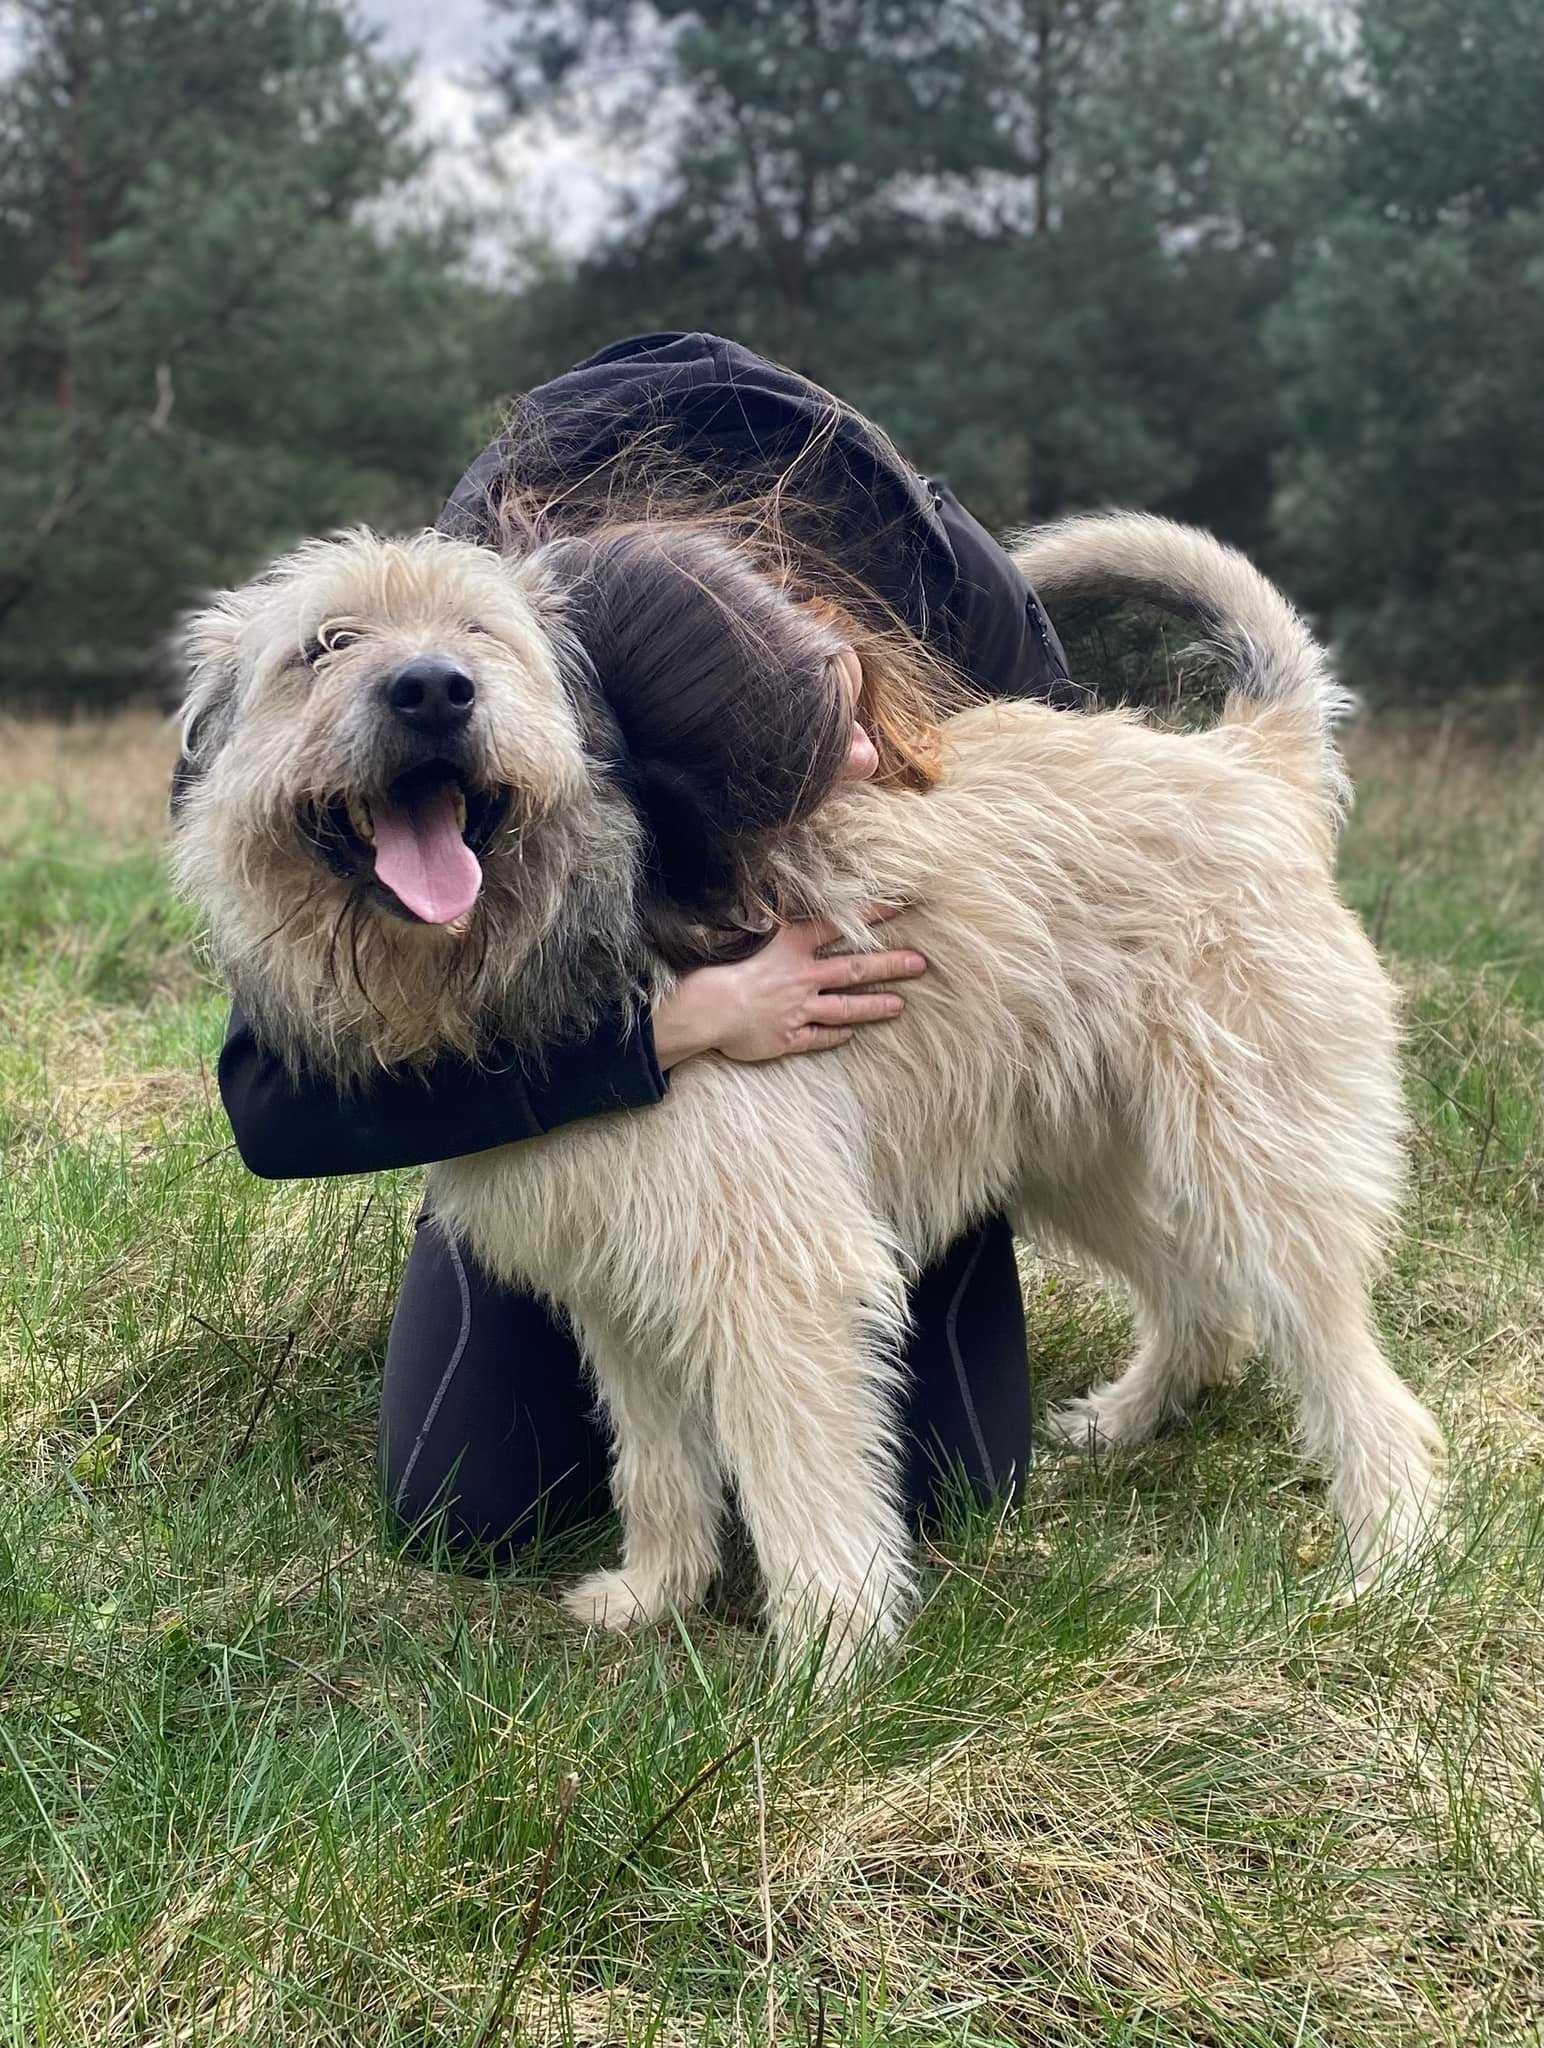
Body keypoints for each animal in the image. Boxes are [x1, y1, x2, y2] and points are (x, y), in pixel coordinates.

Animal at [174, 512, 1441, 1679]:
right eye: (325, 643)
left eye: (483, 633)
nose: (433, 690)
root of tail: (1241, 761)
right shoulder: (616, 1285)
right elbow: (656, 1461)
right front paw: (656, 1591)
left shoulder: (776, 1274)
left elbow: (800, 1475)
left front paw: (826, 1665)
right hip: (1080, 1153)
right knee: (1195, 1295)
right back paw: (1133, 1418)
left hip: (1251, 1159)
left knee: (1351, 1370)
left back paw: (1389, 1554)